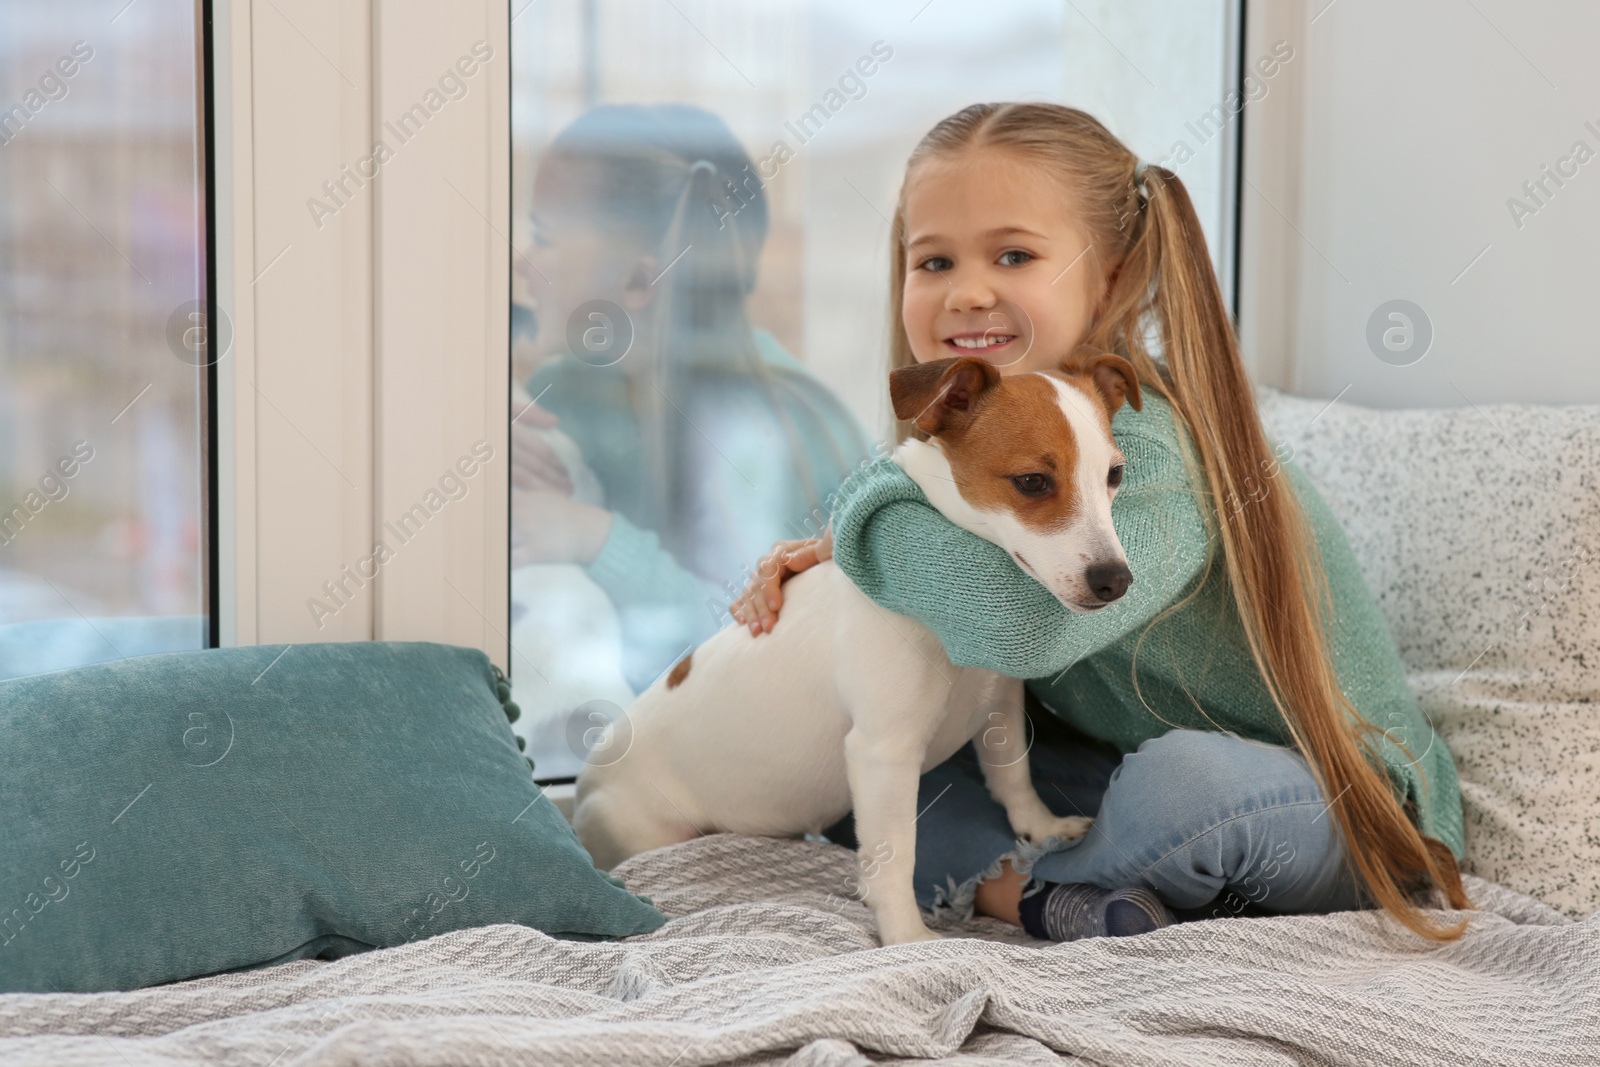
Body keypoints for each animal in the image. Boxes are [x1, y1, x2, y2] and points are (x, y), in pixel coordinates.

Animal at [572, 348, 1139, 940]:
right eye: (1032, 482)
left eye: (1115, 474)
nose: (1116, 581)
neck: (948, 610)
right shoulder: (884, 753)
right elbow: (895, 855)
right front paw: (907, 938)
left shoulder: (1000, 704)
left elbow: (1013, 775)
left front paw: (1040, 827)